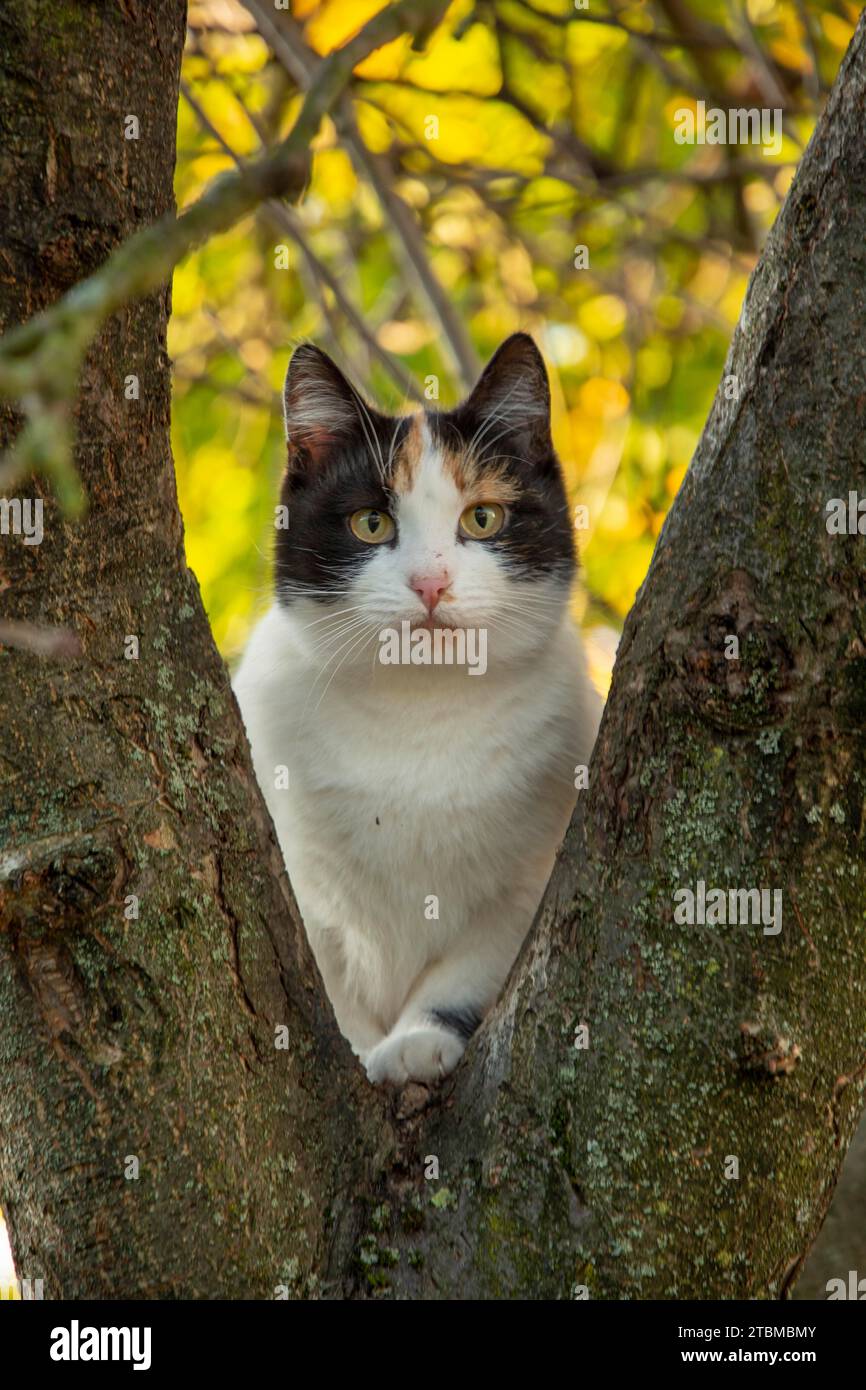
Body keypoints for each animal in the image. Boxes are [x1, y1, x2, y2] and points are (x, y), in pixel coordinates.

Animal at [234, 333, 603, 1084]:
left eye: (482, 517)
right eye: (371, 523)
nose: (430, 582)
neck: (419, 715)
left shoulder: (527, 885)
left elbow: (468, 968)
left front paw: (415, 1041)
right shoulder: (299, 879)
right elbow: (328, 982)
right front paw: (358, 1049)